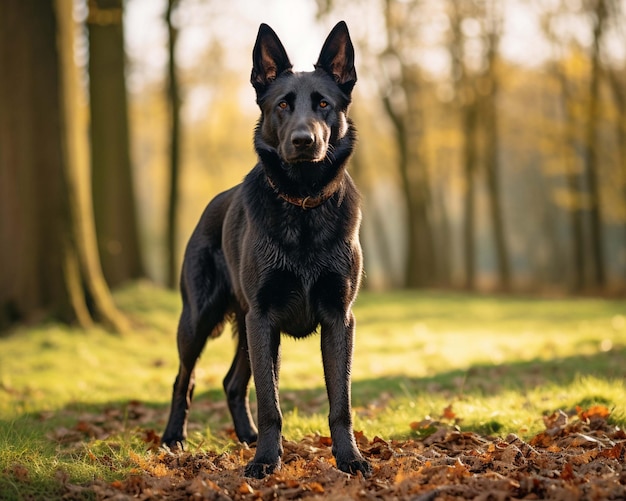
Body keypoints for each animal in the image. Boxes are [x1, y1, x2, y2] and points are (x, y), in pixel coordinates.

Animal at [160, 19, 370, 478]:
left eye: (324, 103)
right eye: (282, 105)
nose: (304, 141)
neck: (303, 204)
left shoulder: (338, 319)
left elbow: (341, 401)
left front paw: (349, 458)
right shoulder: (263, 319)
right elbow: (270, 401)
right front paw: (266, 461)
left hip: (245, 329)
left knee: (231, 383)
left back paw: (247, 436)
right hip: (198, 320)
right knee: (185, 379)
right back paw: (173, 438)